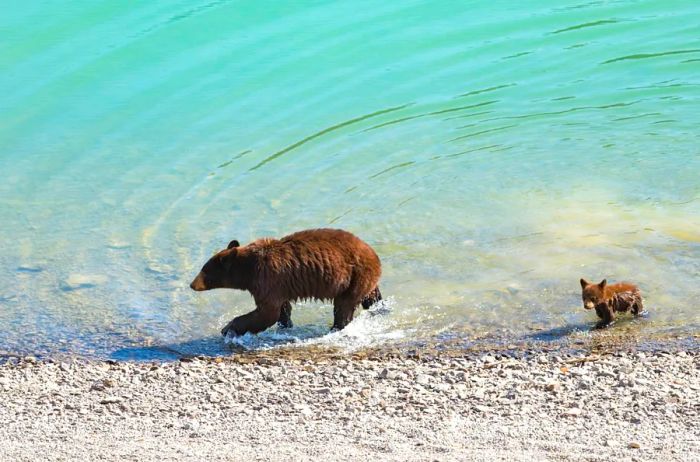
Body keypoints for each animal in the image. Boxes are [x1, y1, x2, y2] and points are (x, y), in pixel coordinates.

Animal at [190, 227, 382, 336]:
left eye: (204, 270)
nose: (192, 284)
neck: (248, 269)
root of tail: (374, 254)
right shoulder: (277, 285)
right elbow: (282, 309)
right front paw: (285, 325)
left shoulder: (266, 279)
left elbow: (267, 312)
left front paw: (228, 328)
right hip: (361, 279)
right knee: (370, 296)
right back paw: (379, 306)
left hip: (355, 275)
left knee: (344, 306)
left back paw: (335, 327)